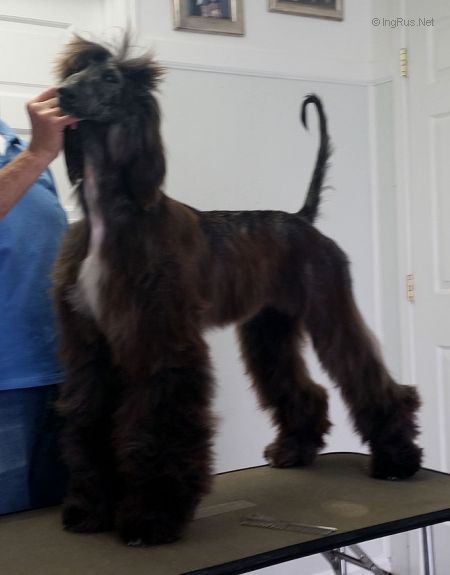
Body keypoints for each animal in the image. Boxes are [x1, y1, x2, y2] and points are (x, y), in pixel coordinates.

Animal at [53, 35, 422, 546]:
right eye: (75, 69)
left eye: (110, 77)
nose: (62, 95)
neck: (113, 216)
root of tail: (303, 219)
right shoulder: (91, 346)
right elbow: (89, 418)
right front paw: (90, 509)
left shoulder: (162, 342)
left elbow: (159, 423)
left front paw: (152, 516)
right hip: (270, 327)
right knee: (304, 388)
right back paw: (296, 449)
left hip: (330, 306)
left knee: (367, 374)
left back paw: (397, 459)